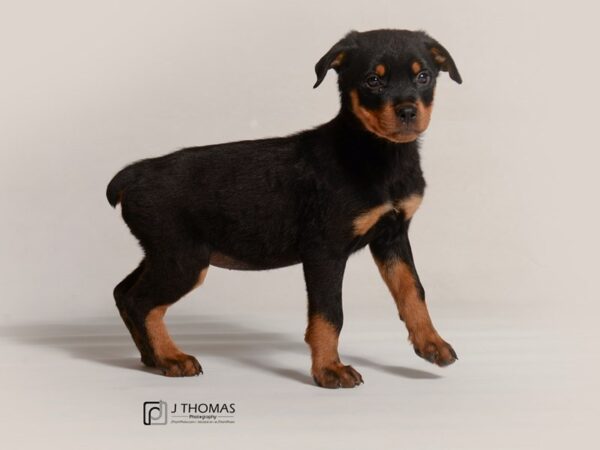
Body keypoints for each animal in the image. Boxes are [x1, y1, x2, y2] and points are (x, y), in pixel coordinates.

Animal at [108, 29, 462, 386]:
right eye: (372, 80)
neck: (378, 155)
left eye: (423, 76)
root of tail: (132, 175)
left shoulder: (392, 237)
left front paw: (431, 344)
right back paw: (171, 357)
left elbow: (412, 290)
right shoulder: (325, 250)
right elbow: (329, 312)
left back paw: (152, 357)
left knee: (124, 292)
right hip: (184, 258)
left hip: (163, 252)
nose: (408, 111)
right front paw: (328, 369)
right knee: (141, 302)